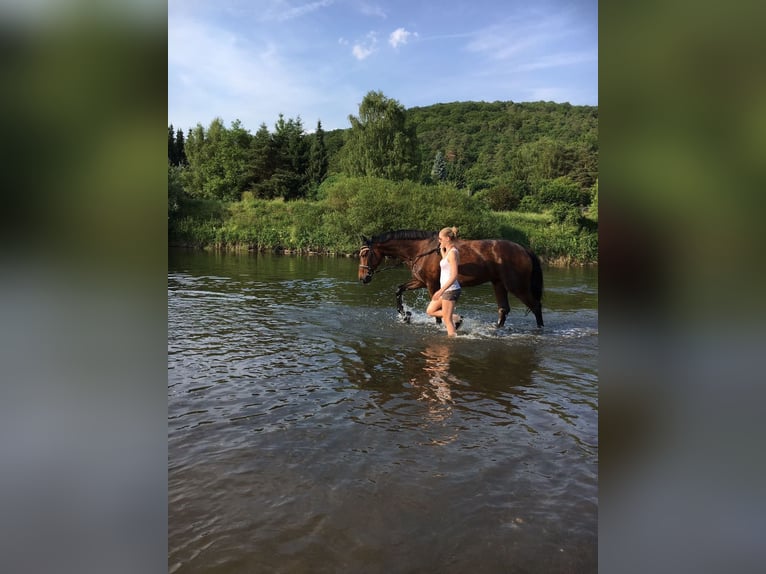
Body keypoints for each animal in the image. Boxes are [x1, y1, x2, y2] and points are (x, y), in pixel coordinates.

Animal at [360, 230, 544, 328]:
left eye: (364, 254)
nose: (363, 278)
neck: (421, 250)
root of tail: (524, 249)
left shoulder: (431, 284)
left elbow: (436, 309)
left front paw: (440, 324)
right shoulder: (420, 281)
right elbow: (399, 289)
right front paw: (405, 315)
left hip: (517, 286)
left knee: (535, 306)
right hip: (498, 283)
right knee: (503, 309)